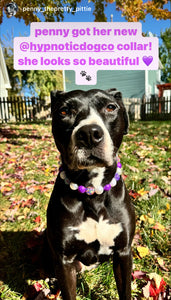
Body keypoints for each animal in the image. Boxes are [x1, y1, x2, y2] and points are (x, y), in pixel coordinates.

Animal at [46, 89, 135, 300]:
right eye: (64, 111)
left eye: (110, 107)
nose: (89, 134)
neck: (93, 192)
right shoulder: (64, 261)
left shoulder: (123, 253)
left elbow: (125, 290)